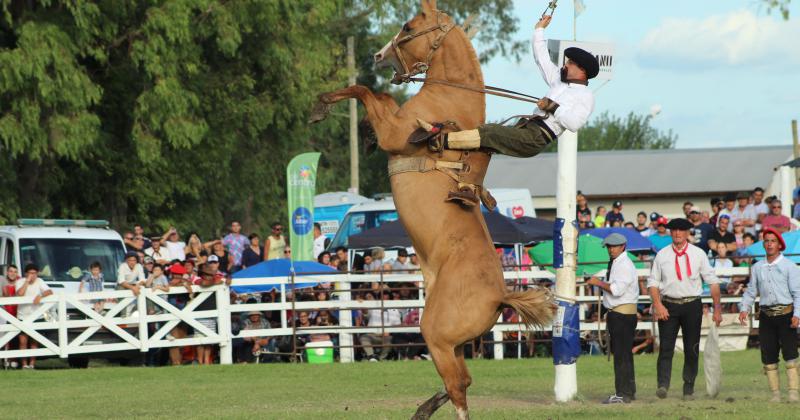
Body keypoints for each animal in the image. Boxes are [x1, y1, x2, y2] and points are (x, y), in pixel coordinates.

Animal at [310, 1, 552, 418]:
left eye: (409, 26)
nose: (379, 56)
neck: (448, 100)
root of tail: (501, 296)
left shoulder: (395, 132)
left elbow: (365, 91)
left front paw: (321, 106)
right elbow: (376, 97)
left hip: (436, 337)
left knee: (458, 387)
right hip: (454, 344)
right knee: (462, 380)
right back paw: (424, 407)